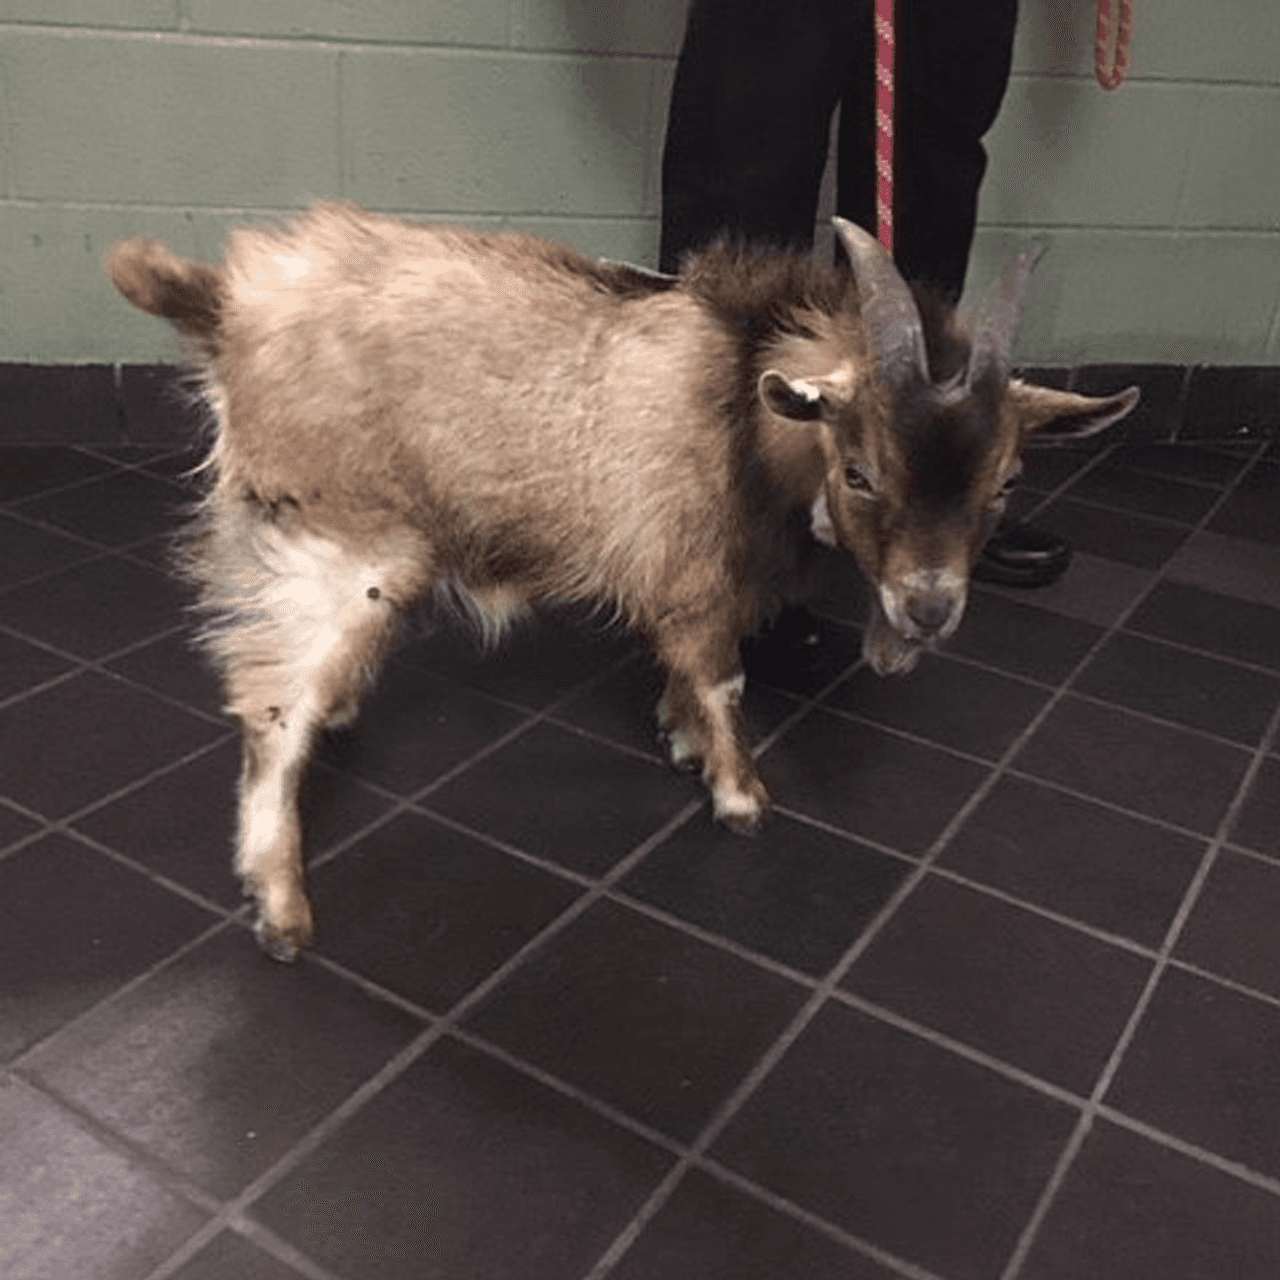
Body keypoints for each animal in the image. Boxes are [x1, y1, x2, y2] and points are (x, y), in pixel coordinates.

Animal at [107, 202, 1138, 960]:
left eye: (1007, 483)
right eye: (860, 472)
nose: (926, 611)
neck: (740, 396)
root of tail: (225, 303)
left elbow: (685, 680)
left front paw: (679, 740)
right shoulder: (693, 576)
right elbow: (718, 675)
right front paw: (739, 795)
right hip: (345, 542)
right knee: (271, 708)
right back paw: (281, 906)